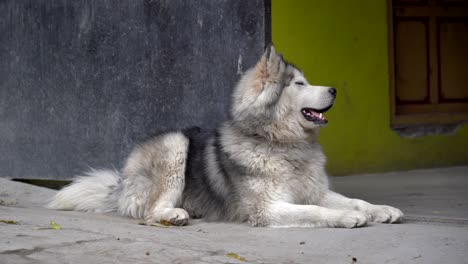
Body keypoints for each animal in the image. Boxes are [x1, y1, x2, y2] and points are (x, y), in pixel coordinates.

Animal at [49, 46, 404, 227]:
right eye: (299, 84)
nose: (333, 89)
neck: (280, 143)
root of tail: (121, 184)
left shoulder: (312, 191)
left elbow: (354, 199)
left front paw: (381, 209)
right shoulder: (267, 208)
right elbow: (316, 211)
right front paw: (347, 216)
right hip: (174, 145)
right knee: (151, 210)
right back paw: (175, 214)